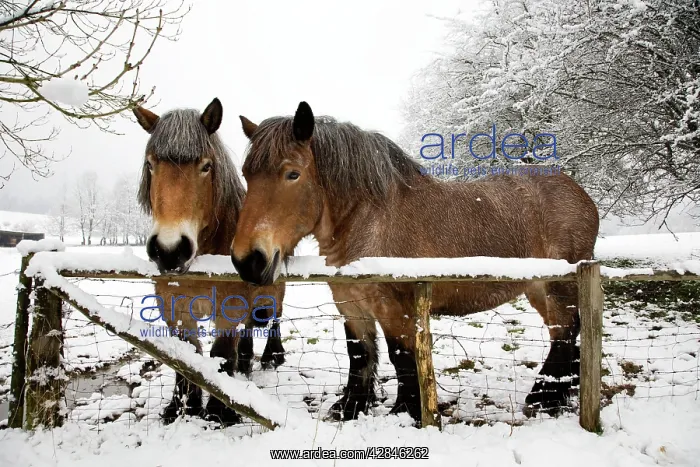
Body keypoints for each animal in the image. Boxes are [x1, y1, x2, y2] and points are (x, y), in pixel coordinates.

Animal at [133, 98, 286, 425]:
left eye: (206, 166)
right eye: (151, 164)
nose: (169, 250)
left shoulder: (229, 309)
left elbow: (220, 355)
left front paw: (219, 412)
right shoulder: (175, 311)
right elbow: (187, 357)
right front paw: (183, 407)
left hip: (271, 297)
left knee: (275, 319)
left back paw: (272, 357)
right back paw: (246, 363)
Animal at [230, 101, 600, 425]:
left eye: (292, 174)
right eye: (247, 174)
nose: (248, 260)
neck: (371, 224)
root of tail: (578, 192)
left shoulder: (399, 310)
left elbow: (403, 358)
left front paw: (407, 412)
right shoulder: (352, 306)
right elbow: (359, 356)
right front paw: (350, 408)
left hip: (559, 286)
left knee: (566, 332)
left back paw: (546, 397)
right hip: (537, 289)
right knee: (564, 333)